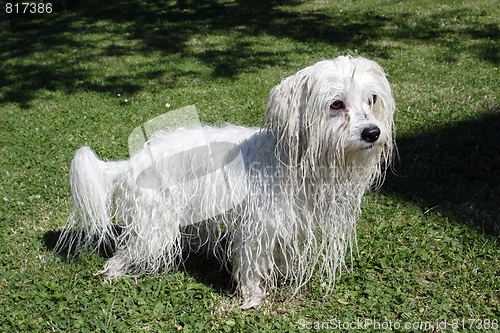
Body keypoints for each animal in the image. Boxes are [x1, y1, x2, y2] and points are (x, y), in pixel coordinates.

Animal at [57, 55, 394, 308]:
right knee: (125, 252)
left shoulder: (287, 225)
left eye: (372, 99)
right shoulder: (257, 227)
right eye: (336, 104)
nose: (372, 132)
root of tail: (131, 162)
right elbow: (251, 264)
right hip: (153, 228)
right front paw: (252, 296)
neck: (293, 162)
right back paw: (112, 273)